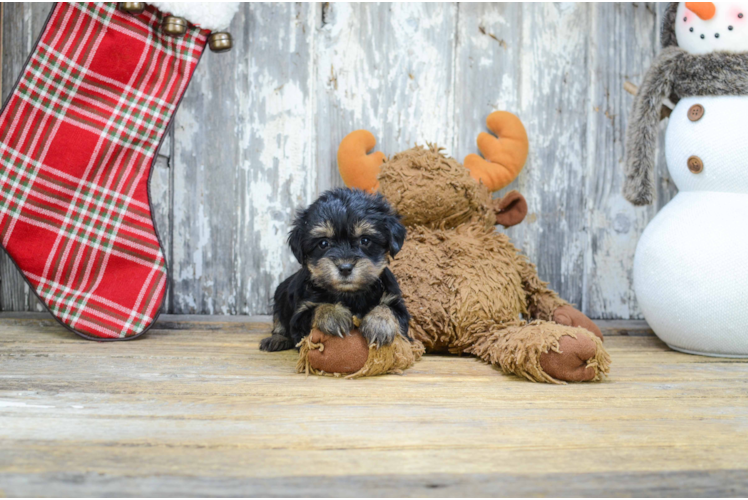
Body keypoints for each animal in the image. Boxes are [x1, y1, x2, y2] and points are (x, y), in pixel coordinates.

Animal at [258, 188, 410, 352]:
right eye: (323, 243)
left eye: (365, 240)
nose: (345, 268)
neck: (349, 294)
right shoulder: (300, 313)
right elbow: (316, 309)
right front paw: (334, 314)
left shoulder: (396, 302)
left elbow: (389, 309)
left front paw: (379, 323)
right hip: (280, 295)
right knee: (279, 319)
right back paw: (277, 339)